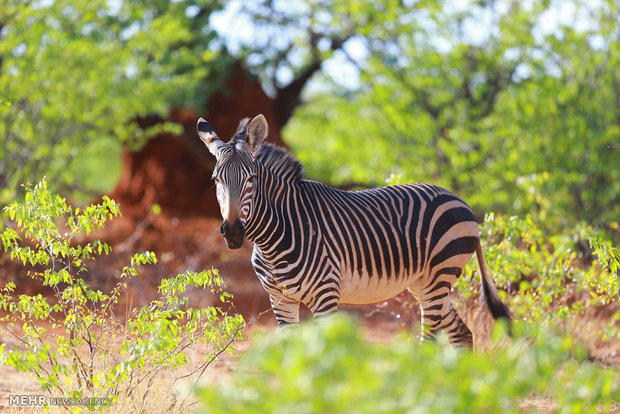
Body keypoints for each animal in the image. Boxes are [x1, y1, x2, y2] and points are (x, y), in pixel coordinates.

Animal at [196, 113, 512, 346]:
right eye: (215, 180)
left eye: (251, 179)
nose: (233, 232)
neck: (274, 239)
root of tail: (458, 199)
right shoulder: (280, 298)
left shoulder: (325, 295)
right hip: (425, 284)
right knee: (463, 333)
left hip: (439, 277)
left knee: (432, 340)